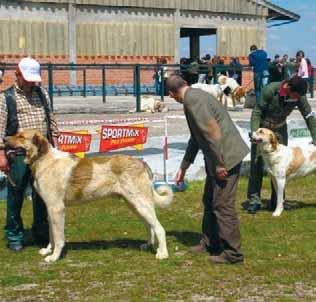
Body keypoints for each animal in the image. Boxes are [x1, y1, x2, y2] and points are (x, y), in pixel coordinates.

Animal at [4, 130, 173, 262]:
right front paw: (47, 250)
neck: (43, 159)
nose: (4, 139)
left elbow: (59, 238)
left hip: (140, 204)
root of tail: (141, 162)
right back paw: (148, 245)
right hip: (134, 205)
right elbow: (52, 235)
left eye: (21, 136)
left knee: (159, 228)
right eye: (16, 133)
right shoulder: (50, 210)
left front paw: (54, 257)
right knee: (149, 226)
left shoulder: (57, 209)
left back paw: (162, 253)